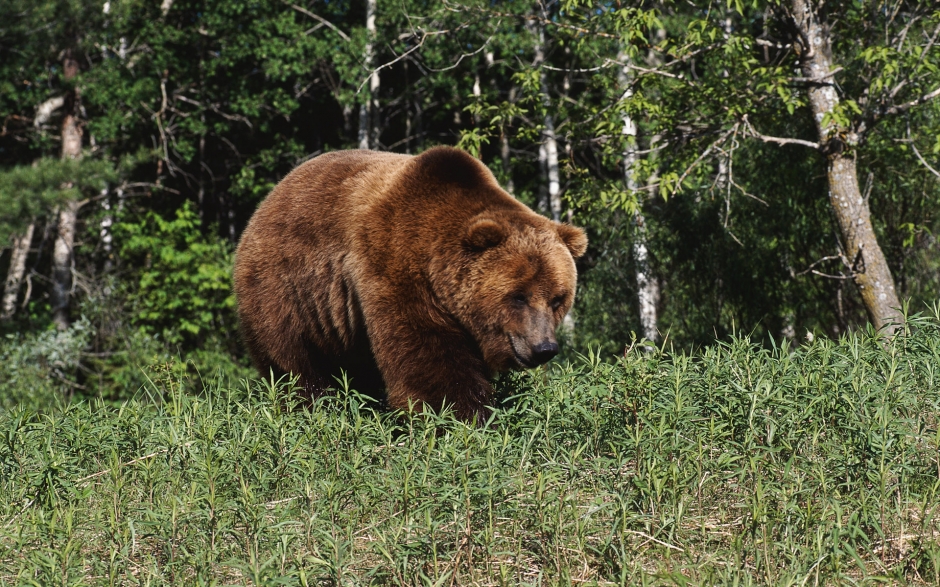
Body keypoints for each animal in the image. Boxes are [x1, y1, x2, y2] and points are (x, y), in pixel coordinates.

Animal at [233, 146, 588, 422]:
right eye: (518, 296)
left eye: (558, 299)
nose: (544, 348)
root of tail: (267, 201)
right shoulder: (397, 270)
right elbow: (428, 357)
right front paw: (460, 416)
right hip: (286, 291)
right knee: (293, 360)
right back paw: (312, 407)